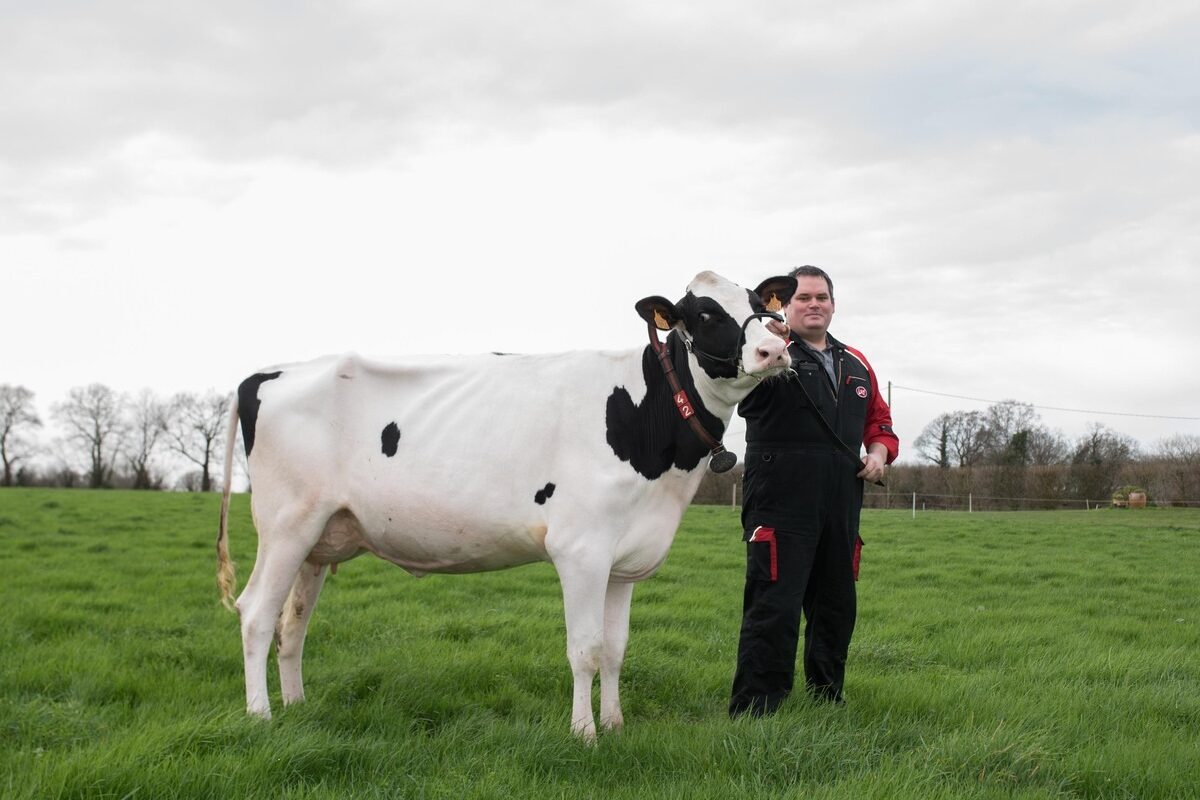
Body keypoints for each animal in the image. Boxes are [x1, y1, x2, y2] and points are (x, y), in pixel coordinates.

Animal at [216, 272, 796, 743]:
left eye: (759, 304)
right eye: (706, 314)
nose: (776, 349)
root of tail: (266, 374)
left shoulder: (624, 558)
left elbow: (615, 648)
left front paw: (615, 724)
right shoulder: (581, 550)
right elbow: (585, 648)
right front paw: (584, 734)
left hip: (318, 539)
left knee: (292, 624)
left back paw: (297, 708)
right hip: (286, 525)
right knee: (256, 614)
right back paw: (260, 716)